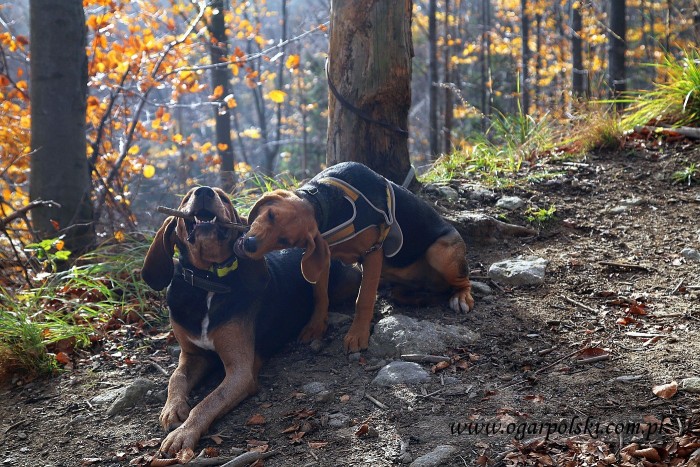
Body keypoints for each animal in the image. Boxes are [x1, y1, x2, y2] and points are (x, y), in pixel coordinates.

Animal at [143, 186, 360, 454]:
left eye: (224, 198)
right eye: (186, 197)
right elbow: (176, 378)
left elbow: (208, 402)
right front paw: (172, 409)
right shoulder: (193, 355)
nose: (204, 191)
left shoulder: (240, 371)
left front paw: (183, 433)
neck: (209, 283)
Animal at [237, 163, 476, 352]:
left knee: (463, 281)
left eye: (285, 240)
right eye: (270, 215)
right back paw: (420, 297)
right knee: (409, 292)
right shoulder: (324, 256)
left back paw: (460, 297)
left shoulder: (372, 252)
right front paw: (315, 327)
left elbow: (364, 299)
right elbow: (320, 295)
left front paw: (357, 334)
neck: (323, 202)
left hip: (440, 252)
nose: (249, 244)